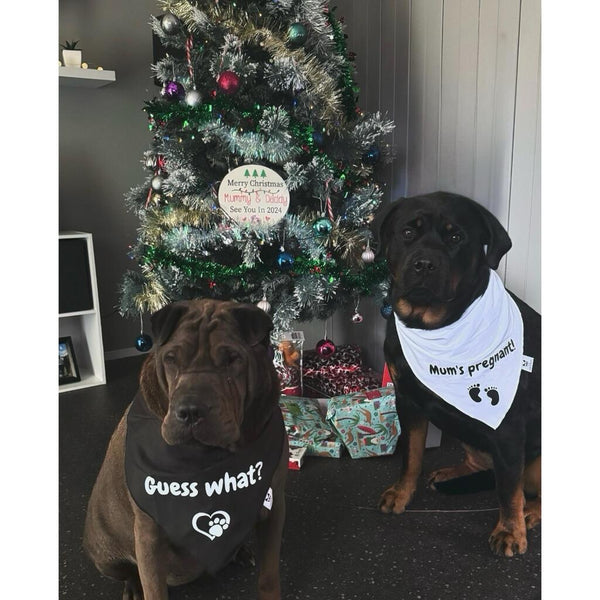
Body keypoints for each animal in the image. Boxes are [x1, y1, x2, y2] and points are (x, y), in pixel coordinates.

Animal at [84, 300, 288, 600]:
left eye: (232, 359)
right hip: (105, 554)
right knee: (128, 571)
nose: (191, 410)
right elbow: (154, 589)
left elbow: (269, 575)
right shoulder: (149, 534)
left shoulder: (273, 507)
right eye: (171, 358)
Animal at [380, 192, 544, 556]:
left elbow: (508, 487)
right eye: (408, 233)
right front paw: (401, 493)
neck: (434, 325)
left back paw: (531, 510)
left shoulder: (508, 426)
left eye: (456, 238)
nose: (425, 264)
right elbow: (411, 456)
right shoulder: (407, 401)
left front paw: (510, 531)